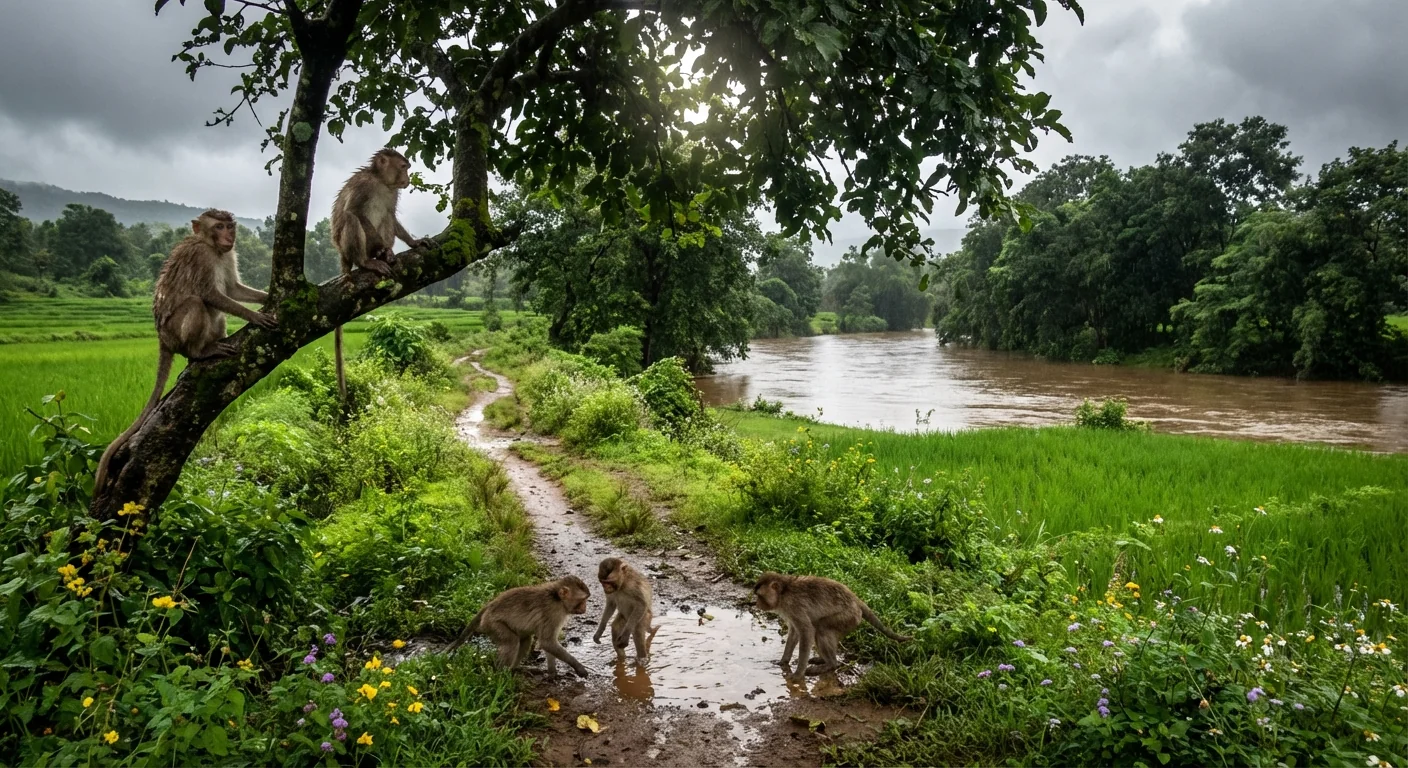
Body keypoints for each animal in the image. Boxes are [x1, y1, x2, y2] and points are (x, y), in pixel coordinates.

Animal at [95, 209, 276, 489]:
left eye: (230, 226)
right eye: (219, 226)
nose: (229, 236)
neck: (212, 246)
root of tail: (161, 337)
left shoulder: (227, 254)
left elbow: (232, 289)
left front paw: (266, 297)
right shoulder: (201, 256)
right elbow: (211, 294)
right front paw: (253, 316)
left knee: (215, 314)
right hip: (174, 332)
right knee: (195, 303)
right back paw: (198, 352)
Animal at [329, 147, 431, 401]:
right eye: (404, 167)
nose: (407, 179)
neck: (381, 183)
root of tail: (342, 257)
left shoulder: (392, 193)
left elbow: (391, 216)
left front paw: (413, 242)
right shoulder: (363, 186)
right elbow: (354, 211)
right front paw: (381, 250)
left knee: (385, 217)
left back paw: (383, 255)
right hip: (346, 247)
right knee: (351, 218)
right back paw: (369, 260)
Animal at [448, 576, 592, 677]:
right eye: (583, 600)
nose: (585, 608)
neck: (556, 598)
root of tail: (489, 606)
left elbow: (548, 644)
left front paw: (552, 673)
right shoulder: (553, 613)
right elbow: (547, 642)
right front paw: (578, 667)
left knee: (525, 640)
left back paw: (514, 669)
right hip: (492, 624)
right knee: (512, 642)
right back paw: (502, 675)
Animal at [752, 571, 911, 680]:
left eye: (759, 596)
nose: (756, 603)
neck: (784, 593)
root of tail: (856, 600)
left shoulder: (794, 606)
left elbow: (806, 631)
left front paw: (798, 673)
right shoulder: (789, 611)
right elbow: (794, 633)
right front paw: (784, 661)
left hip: (849, 617)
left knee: (821, 628)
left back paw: (831, 664)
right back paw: (823, 659)